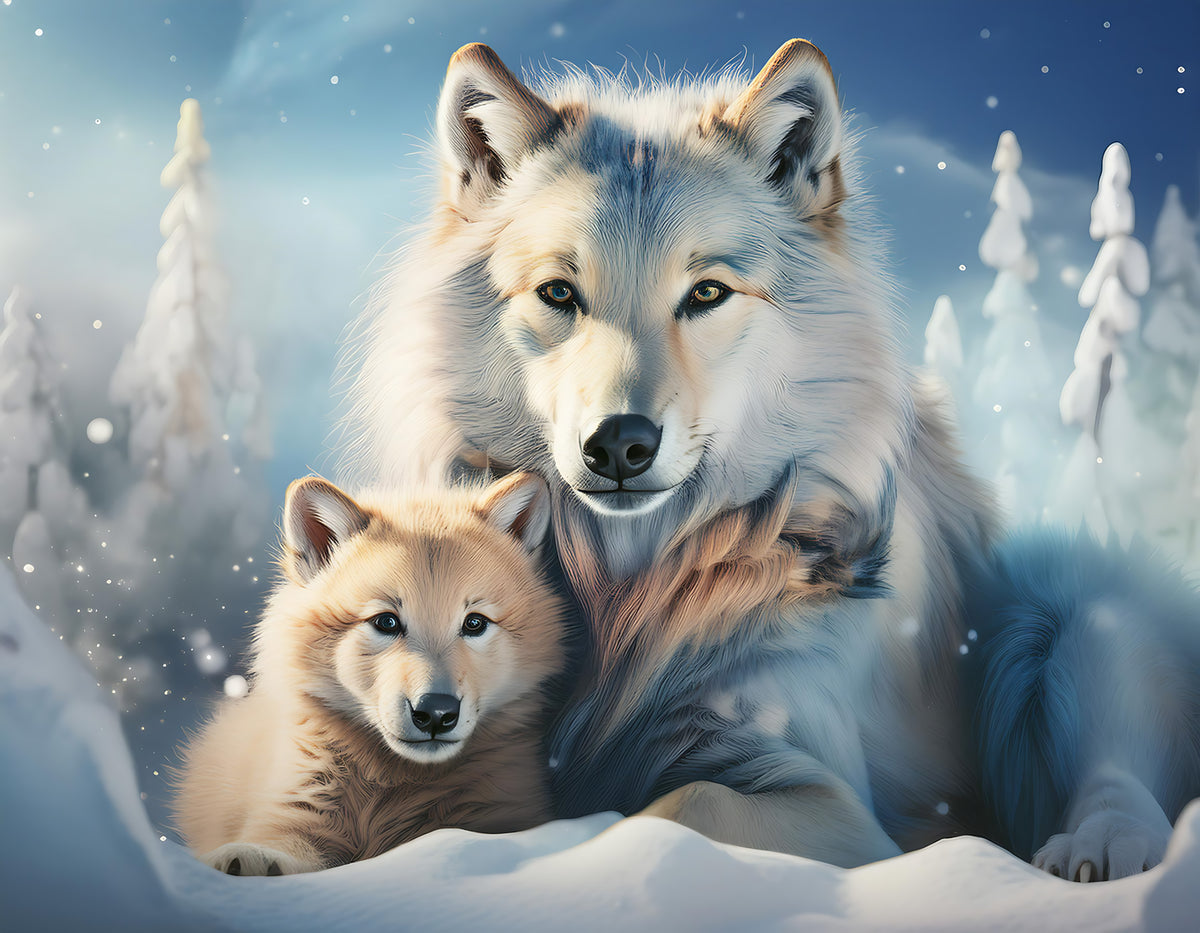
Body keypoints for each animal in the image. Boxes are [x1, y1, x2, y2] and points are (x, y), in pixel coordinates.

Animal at [173, 471, 567, 875]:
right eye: (386, 622)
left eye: (474, 623)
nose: (436, 712)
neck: (392, 787)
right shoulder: (296, 809)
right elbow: (281, 843)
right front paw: (250, 859)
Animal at [342, 39, 1200, 879]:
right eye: (558, 293)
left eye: (707, 293)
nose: (619, 441)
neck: (633, 596)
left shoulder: (836, 807)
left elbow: (674, 807)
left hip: (1075, 609)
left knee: (1115, 765)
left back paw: (1099, 848)